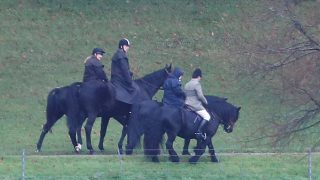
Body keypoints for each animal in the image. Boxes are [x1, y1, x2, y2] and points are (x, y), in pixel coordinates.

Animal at [36, 64, 171, 153]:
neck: (143, 88)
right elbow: (128, 129)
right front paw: (126, 146)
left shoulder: (110, 116)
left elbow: (109, 130)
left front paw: (108, 146)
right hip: (90, 114)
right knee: (86, 128)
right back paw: (89, 148)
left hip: (61, 115)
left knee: (52, 127)